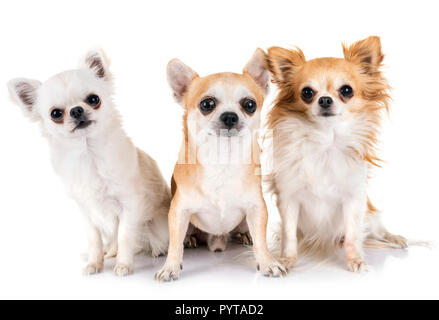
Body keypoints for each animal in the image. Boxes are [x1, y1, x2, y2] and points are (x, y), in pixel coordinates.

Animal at [8, 48, 172, 276]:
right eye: (55, 114)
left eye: (93, 99)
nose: (76, 110)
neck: (88, 155)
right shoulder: (87, 211)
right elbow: (94, 239)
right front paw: (95, 263)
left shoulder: (130, 205)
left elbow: (125, 236)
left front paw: (123, 265)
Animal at [155, 48, 286, 282]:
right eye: (207, 104)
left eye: (249, 105)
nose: (230, 116)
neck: (223, 159)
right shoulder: (179, 211)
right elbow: (174, 245)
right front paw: (170, 266)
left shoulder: (257, 208)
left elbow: (261, 241)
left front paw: (267, 262)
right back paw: (190, 239)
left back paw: (244, 235)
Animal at [266, 37, 408, 272]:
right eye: (307, 93)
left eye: (347, 90)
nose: (324, 100)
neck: (326, 141)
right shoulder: (289, 199)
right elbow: (289, 234)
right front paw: (287, 259)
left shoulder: (353, 199)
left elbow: (352, 234)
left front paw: (355, 260)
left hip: (370, 215)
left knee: (377, 229)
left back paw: (395, 238)